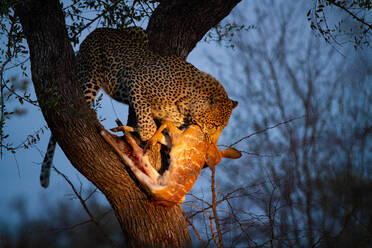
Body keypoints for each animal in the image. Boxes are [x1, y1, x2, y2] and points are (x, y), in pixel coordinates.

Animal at [40, 26, 238, 187]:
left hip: (138, 32)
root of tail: (97, 31)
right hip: (89, 78)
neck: (187, 105)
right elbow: (146, 118)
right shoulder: (134, 79)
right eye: (214, 126)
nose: (211, 143)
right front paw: (146, 136)